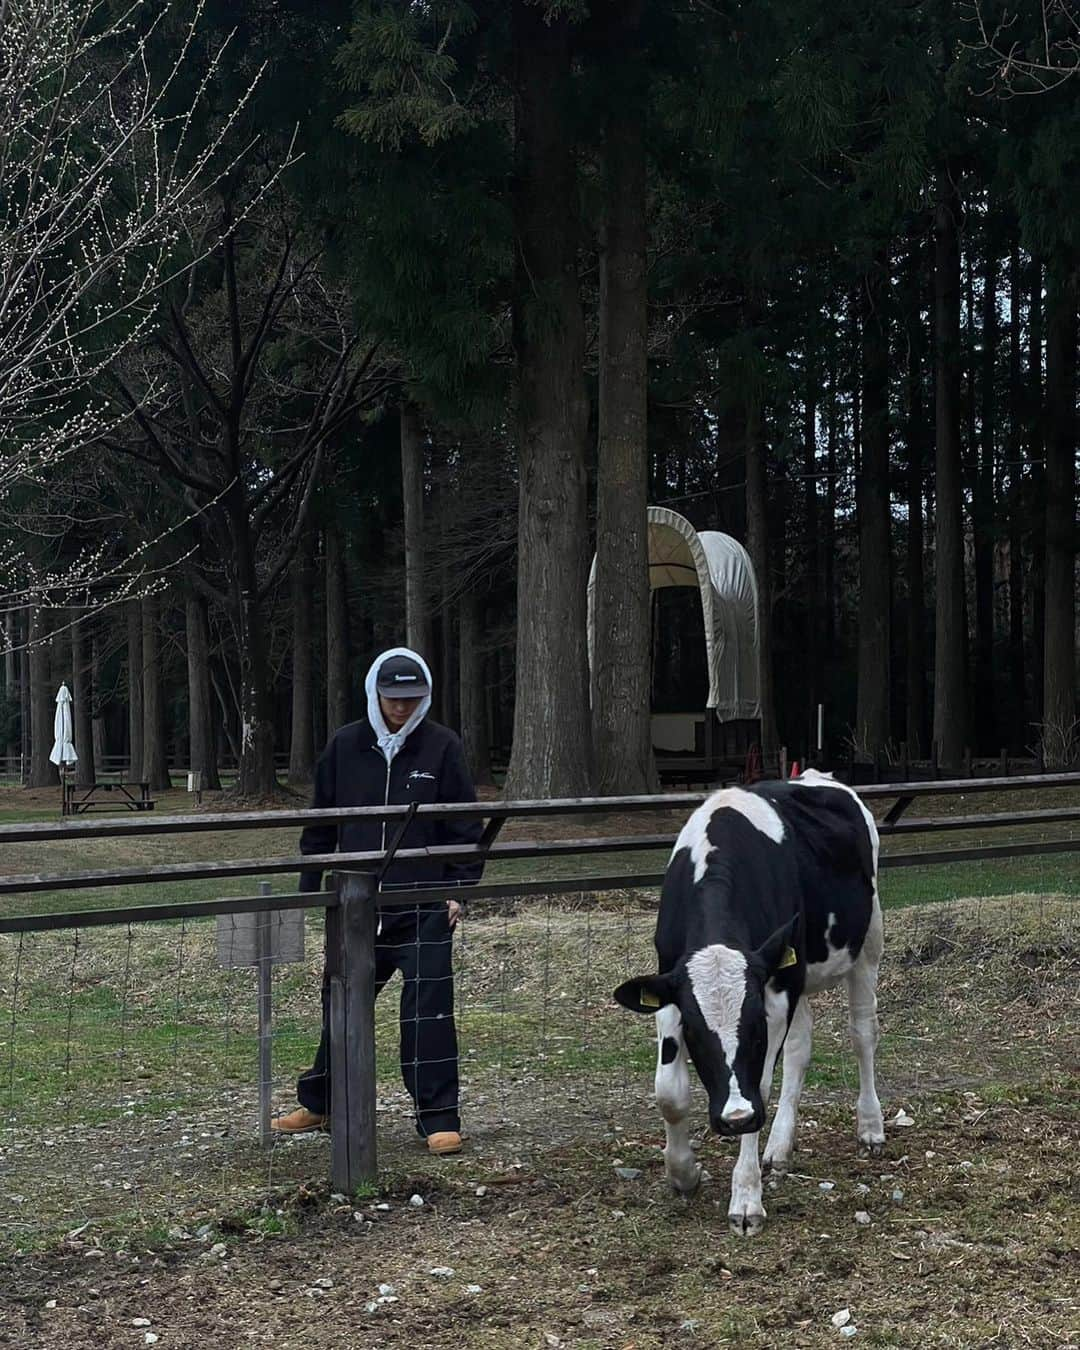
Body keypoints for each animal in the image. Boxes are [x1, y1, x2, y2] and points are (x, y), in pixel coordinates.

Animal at [615, 772, 885, 1236]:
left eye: (754, 1023)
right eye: (695, 1031)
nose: (735, 1117)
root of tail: (817, 777)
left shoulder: (774, 991)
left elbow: (758, 1085)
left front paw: (745, 1199)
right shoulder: (671, 986)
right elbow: (668, 1092)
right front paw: (683, 1172)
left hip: (868, 941)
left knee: (862, 1034)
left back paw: (870, 1125)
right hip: (800, 972)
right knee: (800, 1046)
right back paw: (779, 1147)